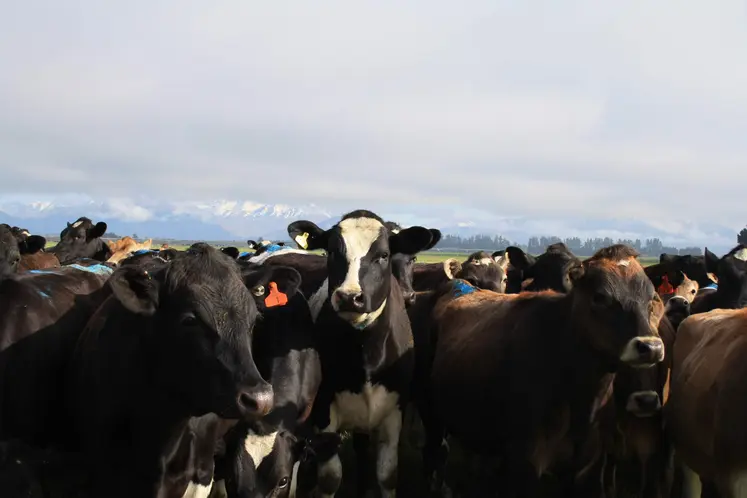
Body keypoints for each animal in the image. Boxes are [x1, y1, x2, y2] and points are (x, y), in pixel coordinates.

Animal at [285, 210, 433, 498]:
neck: (367, 353)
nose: (349, 297)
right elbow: (330, 477)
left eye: (383, 255)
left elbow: (387, 475)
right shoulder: (323, 409)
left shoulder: (395, 409)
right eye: (331, 252)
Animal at [418, 245, 665, 497]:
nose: (651, 347)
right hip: (429, 409)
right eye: (600, 297)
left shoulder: (585, 467)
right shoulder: (524, 465)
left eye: (651, 298)